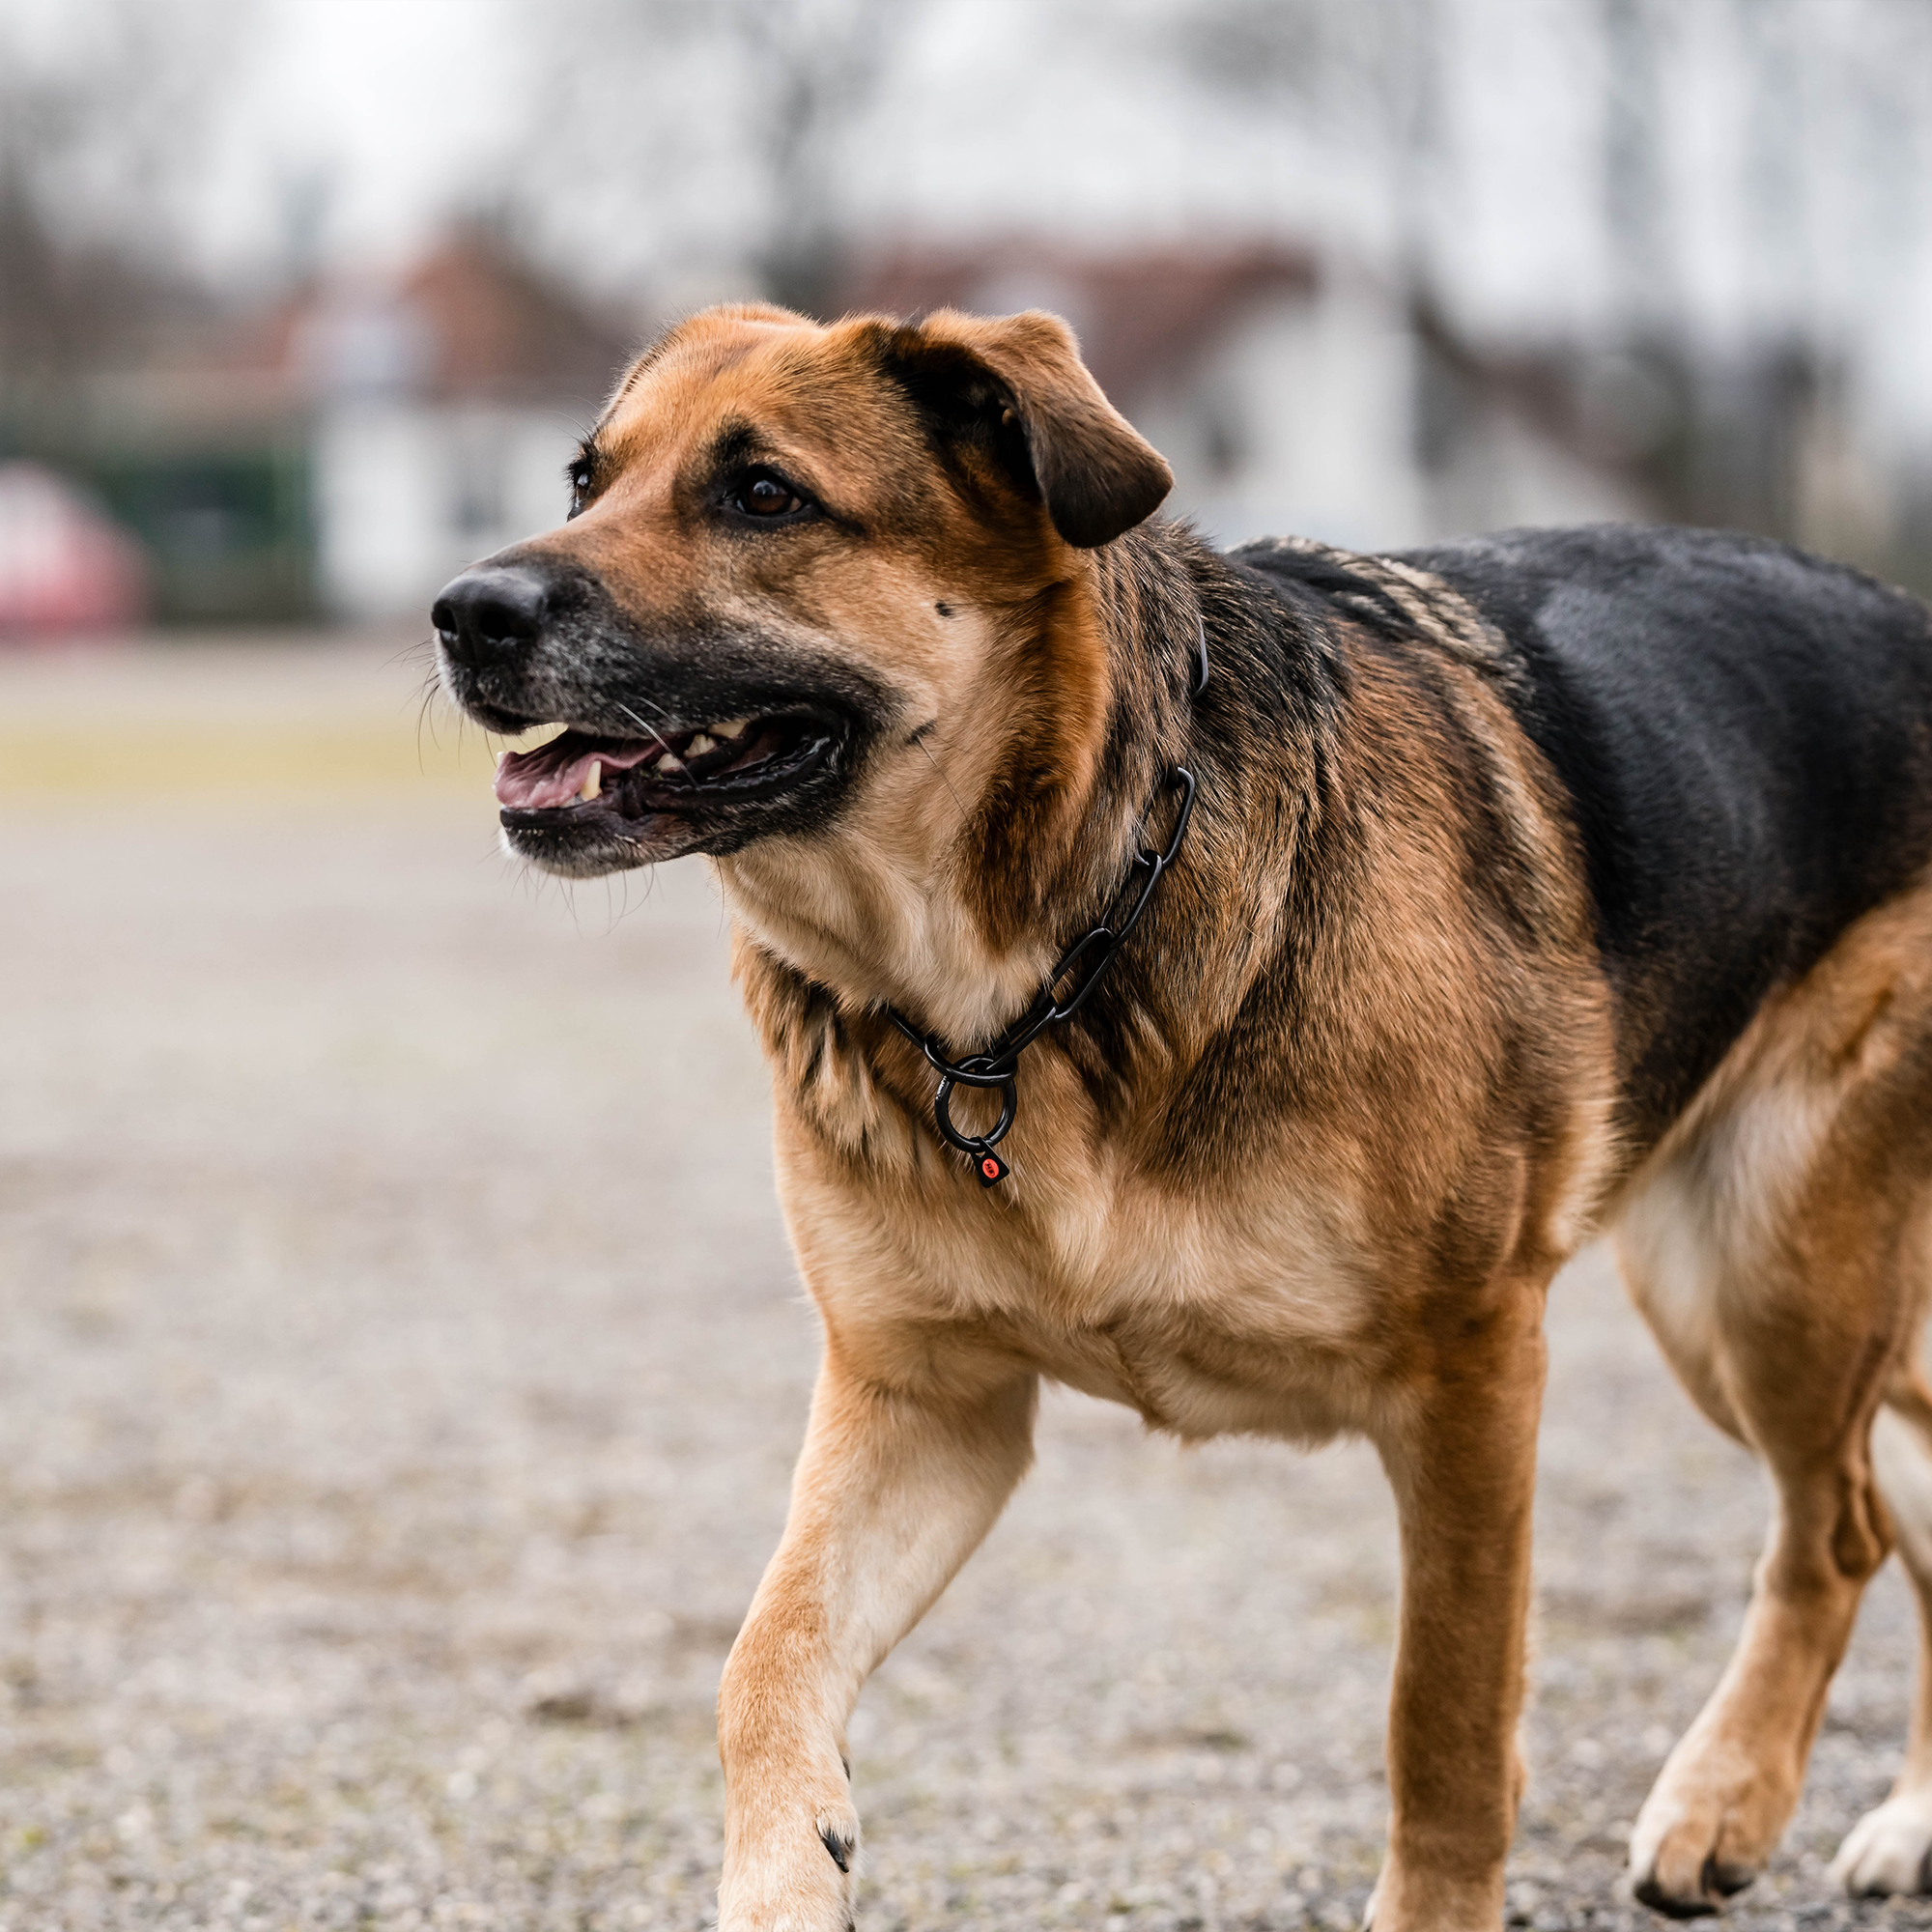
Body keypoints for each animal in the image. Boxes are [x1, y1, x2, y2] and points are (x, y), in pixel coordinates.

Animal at [439, 305, 1932, 1932]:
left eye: (763, 495)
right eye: (586, 481)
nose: (461, 614)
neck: (1034, 974)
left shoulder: (1474, 1376)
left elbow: (1445, 1723)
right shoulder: (925, 1403)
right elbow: (762, 1660)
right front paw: (785, 1872)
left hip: (1770, 1277)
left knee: (1839, 1531)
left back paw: (1727, 1798)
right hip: (1717, 1295)